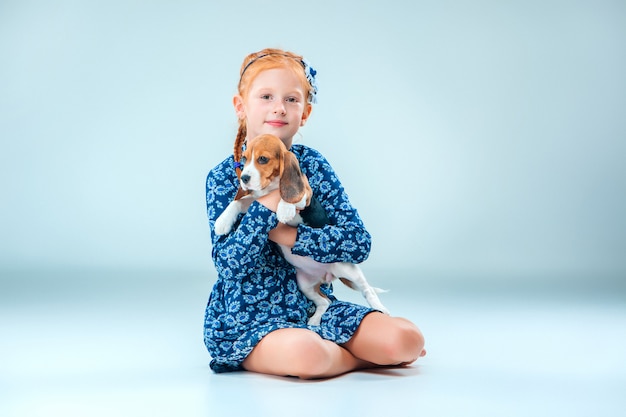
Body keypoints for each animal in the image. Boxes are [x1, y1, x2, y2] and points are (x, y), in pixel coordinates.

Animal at [216, 133, 390, 324]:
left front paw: (285, 209)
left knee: (368, 290)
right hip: (304, 284)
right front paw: (222, 222)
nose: (244, 179)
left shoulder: (305, 193)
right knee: (325, 301)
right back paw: (314, 321)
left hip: (346, 268)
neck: (270, 187)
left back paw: (381, 309)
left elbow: (288, 197)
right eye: (244, 159)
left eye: (262, 159)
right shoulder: (255, 200)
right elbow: (237, 202)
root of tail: (326, 275)